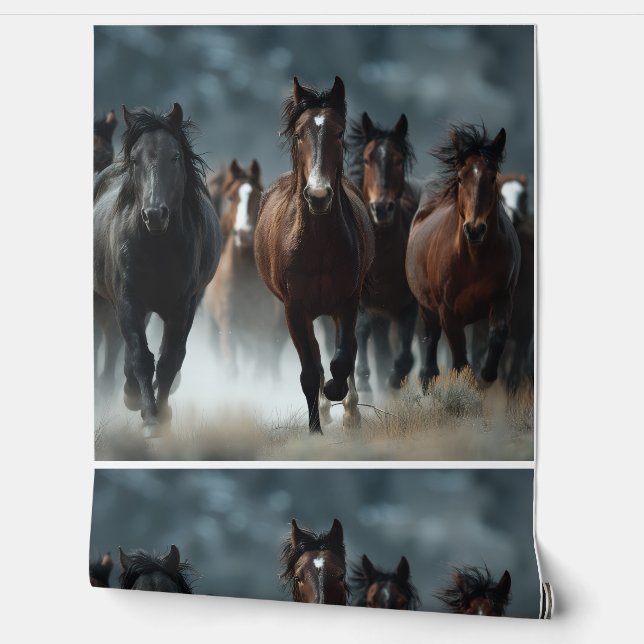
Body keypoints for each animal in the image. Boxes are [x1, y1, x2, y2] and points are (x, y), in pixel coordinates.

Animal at [94, 103, 221, 436]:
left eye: (174, 156)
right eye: (135, 159)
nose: (154, 214)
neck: (156, 246)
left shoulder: (181, 306)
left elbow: (168, 360)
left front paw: (160, 416)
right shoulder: (127, 301)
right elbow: (140, 356)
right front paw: (147, 414)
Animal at [204, 159, 286, 377]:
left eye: (258, 196)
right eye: (231, 197)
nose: (244, 233)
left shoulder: (264, 331)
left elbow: (259, 370)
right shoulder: (227, 325)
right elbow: (231, 367)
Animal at [255, 76, 375, 433]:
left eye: (339, 133)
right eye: (298, 134)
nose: (318, 195)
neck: (317, 244)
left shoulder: (347, 302)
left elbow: (343, 358)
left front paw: (337, 392)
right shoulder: (295, 309)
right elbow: (310, 371)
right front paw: (315, 428)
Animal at [347, 112, 420, 392]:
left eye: (398, 160)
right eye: (367, 159)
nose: (381, 208)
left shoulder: (407, 307)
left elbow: (404, 358)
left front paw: (394, 380)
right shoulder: (363, 306)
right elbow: (361, 332)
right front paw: (364, 383)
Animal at [406, 123, 521, 390]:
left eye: (492, 177)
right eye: (460, 178)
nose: (474, 229)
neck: (473, 259)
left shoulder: (502, 298)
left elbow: (498, 335)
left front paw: (486, 375)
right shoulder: (448, 312)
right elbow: (459, 360)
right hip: (427, 308)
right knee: (431, 341)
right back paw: (428, 378)